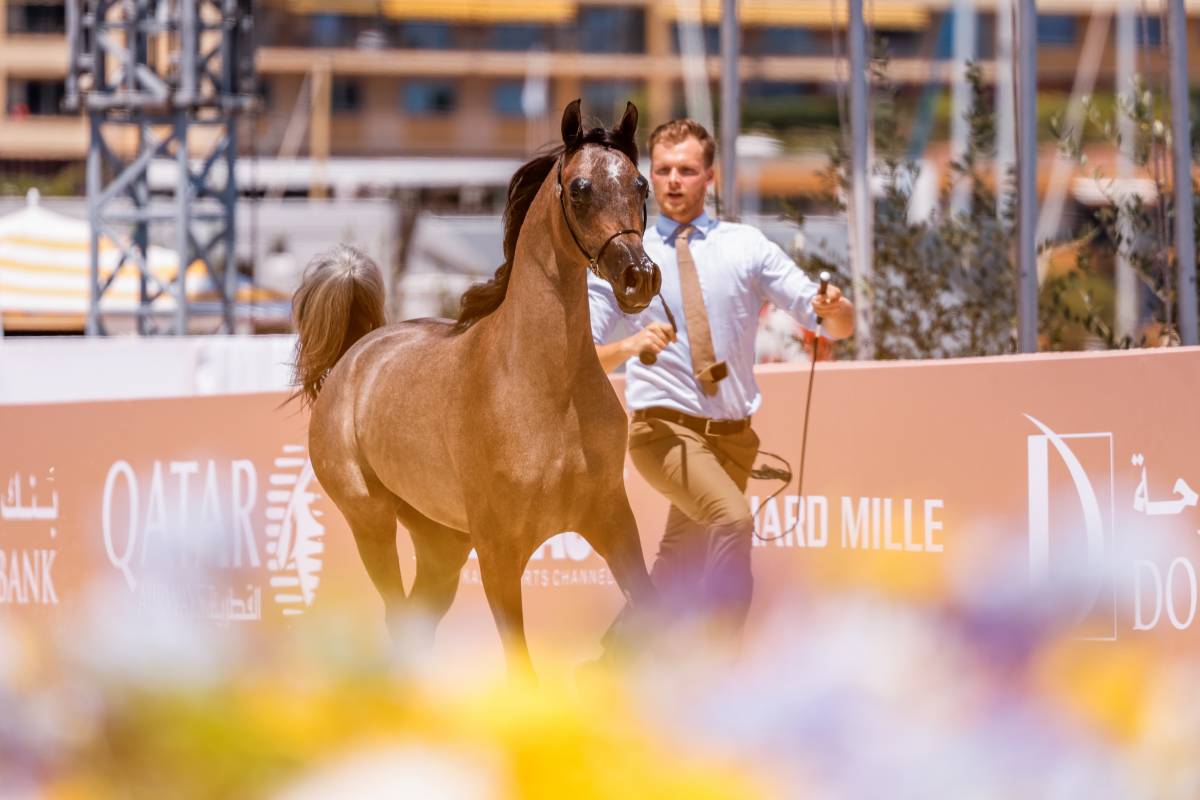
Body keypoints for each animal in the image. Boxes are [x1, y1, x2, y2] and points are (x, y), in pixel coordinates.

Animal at [291, 100, 661, 673]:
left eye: (641, 184)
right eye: (580, 188)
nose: (639, 278)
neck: (547, 392)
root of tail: (356, 355)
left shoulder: (613, 522)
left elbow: (648, 614)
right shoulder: (499, 555)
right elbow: (521, 668)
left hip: (442, 542)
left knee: (416, 622)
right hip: (371, 522)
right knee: (397, 616)